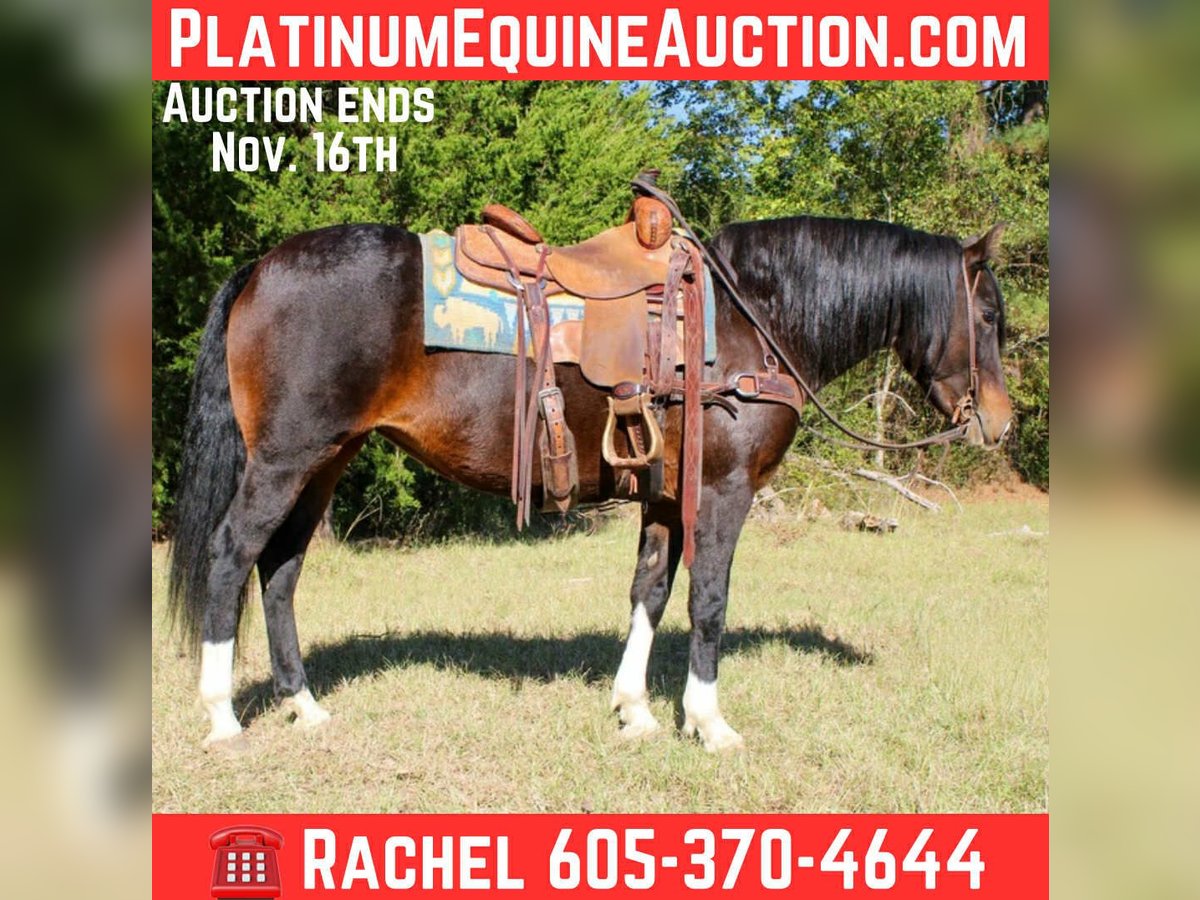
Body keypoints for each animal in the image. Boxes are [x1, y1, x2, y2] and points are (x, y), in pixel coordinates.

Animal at [167, 214, 1013, 752]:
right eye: (990, 317)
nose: (1000, 422)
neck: (748, 320)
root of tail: (263, 267)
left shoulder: (666, 497)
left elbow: (650, 593)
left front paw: (635, 710)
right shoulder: (723, 492)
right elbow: (708, 602)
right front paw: (708, 723)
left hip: (327, 460)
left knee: (280, 572)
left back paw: (304, 706)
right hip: (286, 460)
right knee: (232, 556)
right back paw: (223, 716)